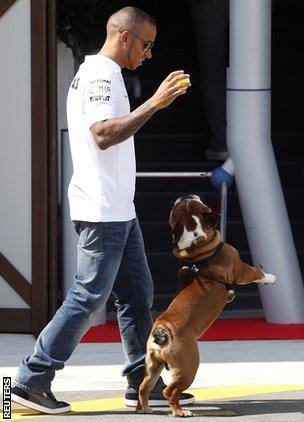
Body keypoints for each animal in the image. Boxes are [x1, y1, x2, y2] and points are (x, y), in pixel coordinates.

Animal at [137, 195, 276, 418]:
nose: (185, 196)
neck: (196, 242)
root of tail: (162, 330)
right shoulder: (241, 269)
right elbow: (256, 273)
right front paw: (270, 278)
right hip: (188, 367)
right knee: (170, 391)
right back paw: (180, 411)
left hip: (153, 365)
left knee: (144, 386)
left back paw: (146, 408)